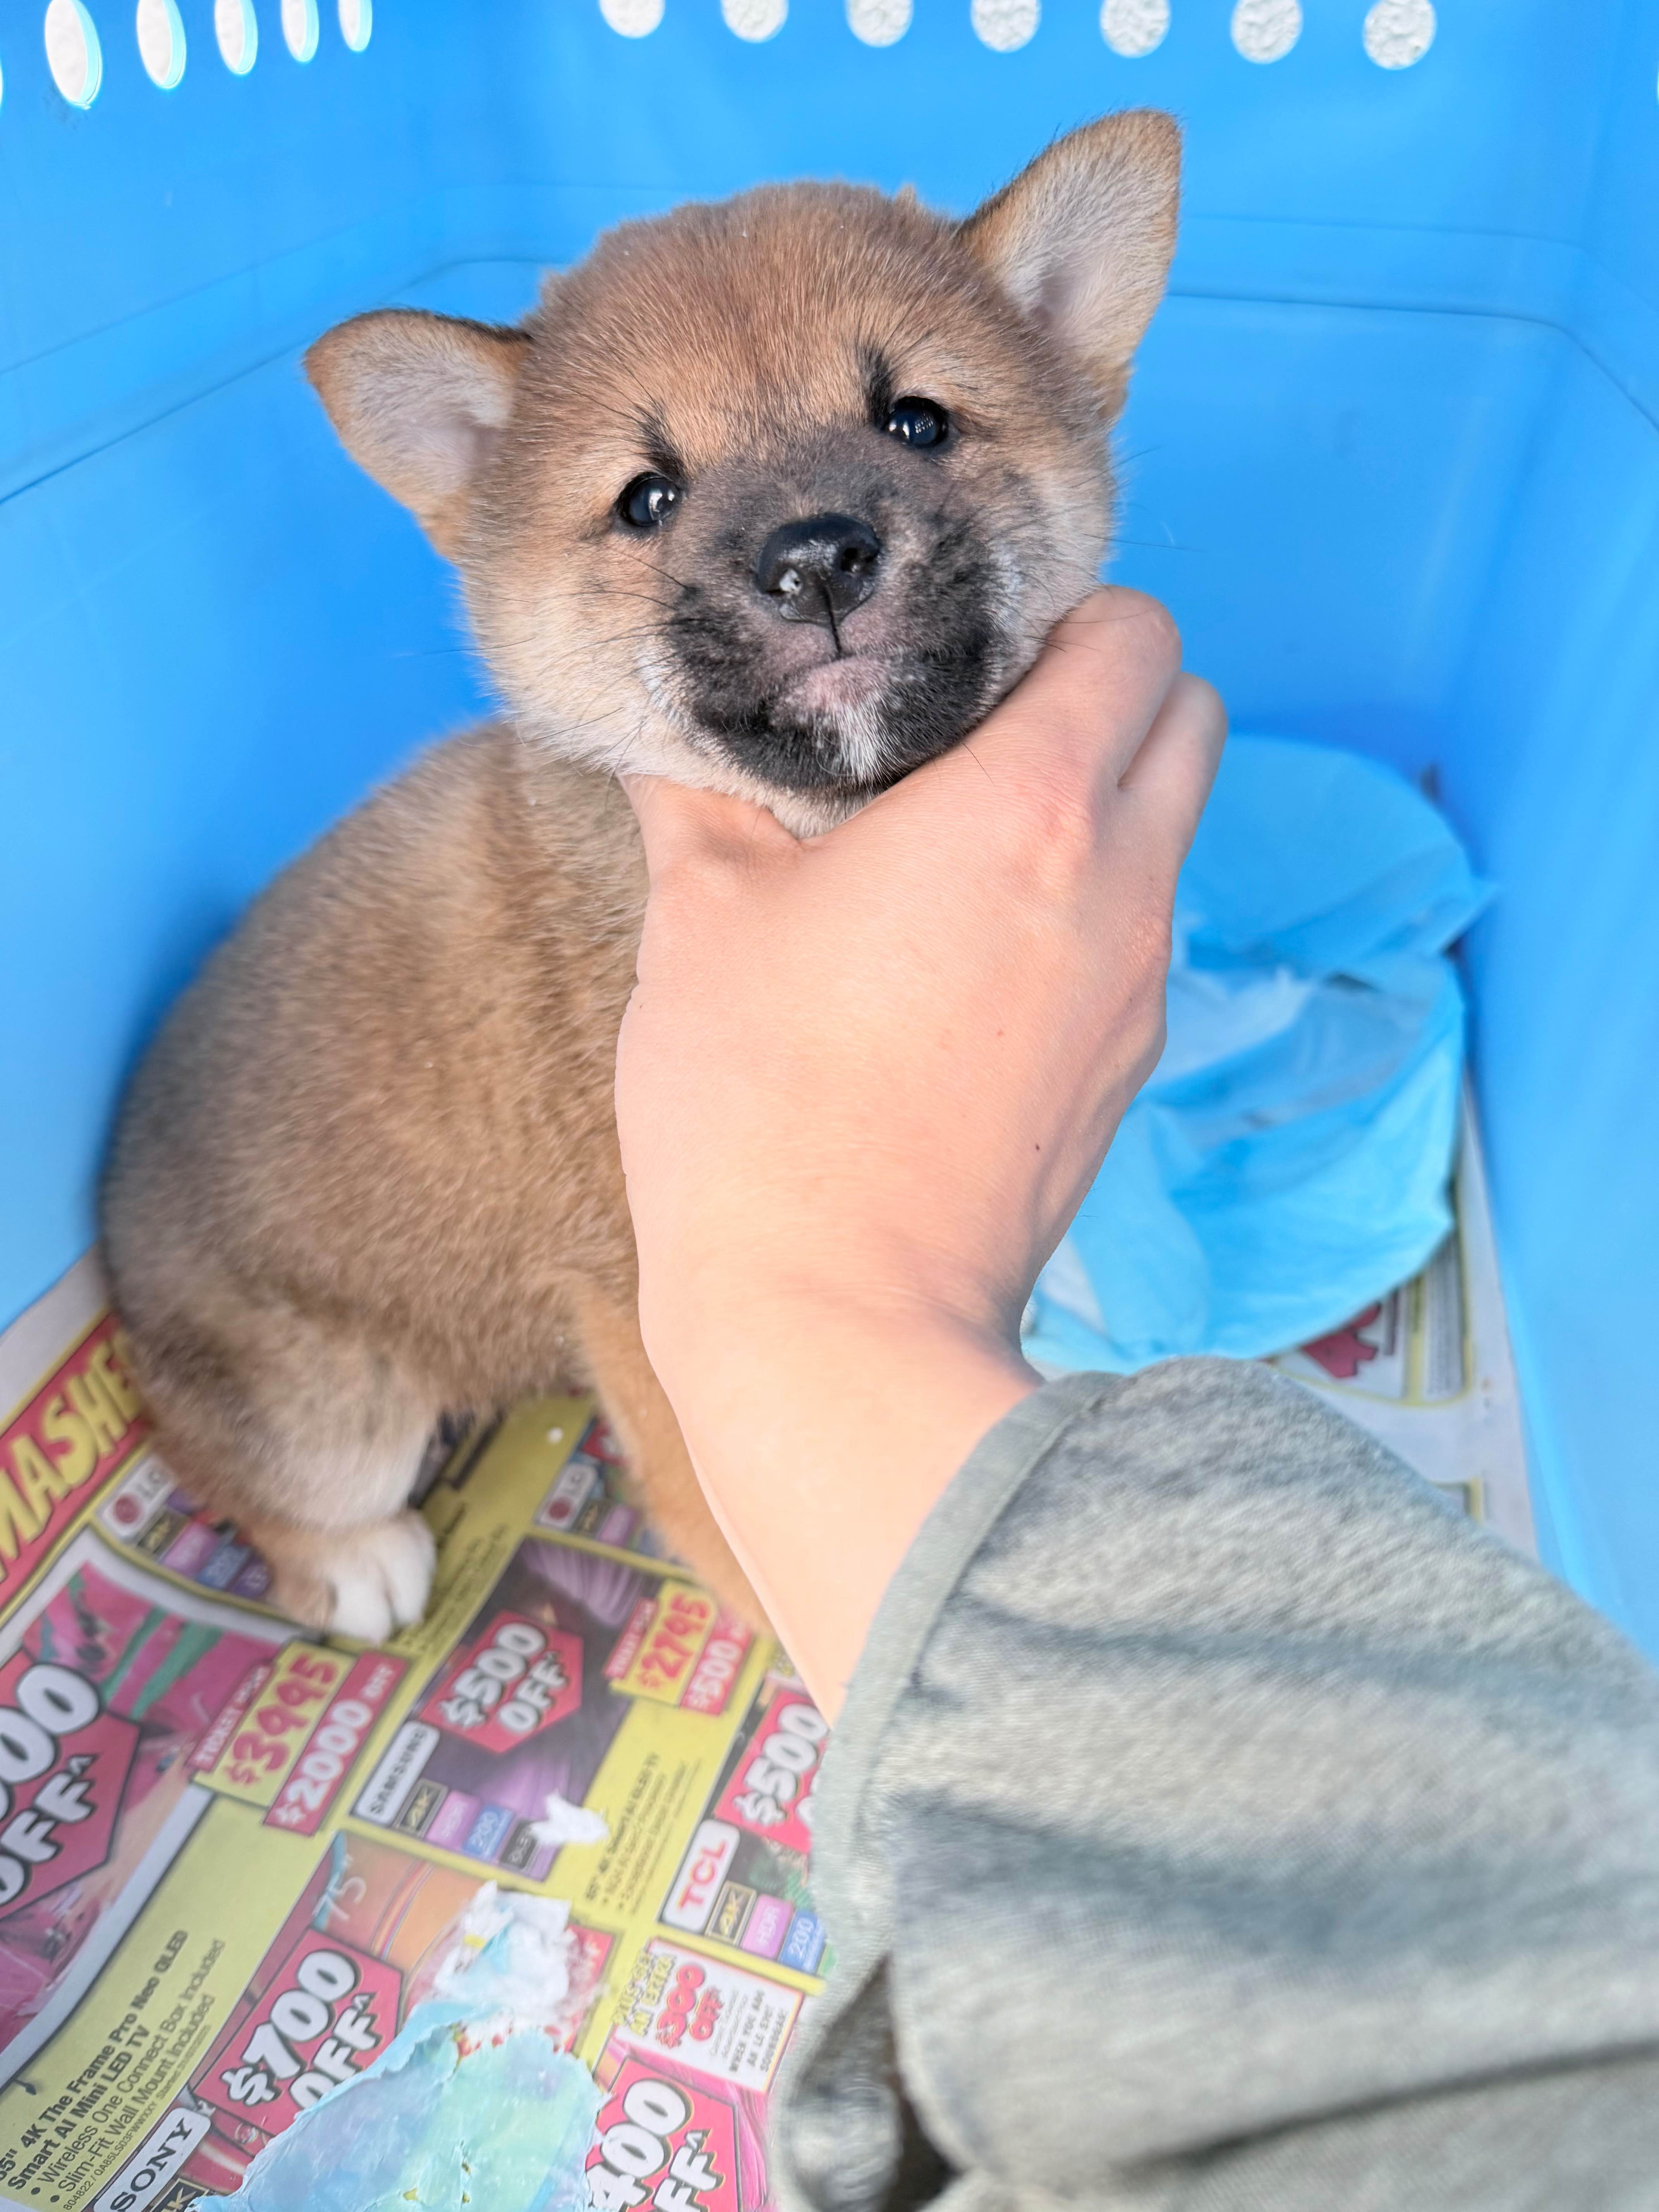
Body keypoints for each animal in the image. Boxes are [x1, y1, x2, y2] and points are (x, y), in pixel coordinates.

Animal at [100, 111, 1181, 1641]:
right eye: (646, 498)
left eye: (915, 420)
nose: (815, 556)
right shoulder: (645, 1302)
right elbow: (714, 1496)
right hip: (328, 1417)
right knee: (241, 1470)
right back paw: (350, 1564)